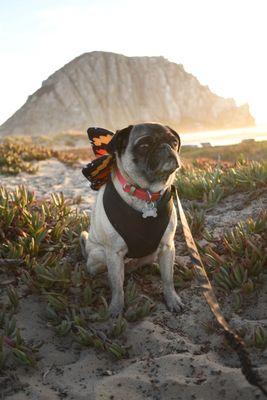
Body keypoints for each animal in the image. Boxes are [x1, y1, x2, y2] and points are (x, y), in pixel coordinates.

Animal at [80, 122, 184, 316]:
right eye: (144, 146)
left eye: (174, 142)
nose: (166, 147)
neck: (146, 194)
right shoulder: (114, 253)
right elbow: (117, 287)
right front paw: (116, 307)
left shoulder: (168, 246)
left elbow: (168, 279)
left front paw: (172, 299)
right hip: (100, 254)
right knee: (102, 271)